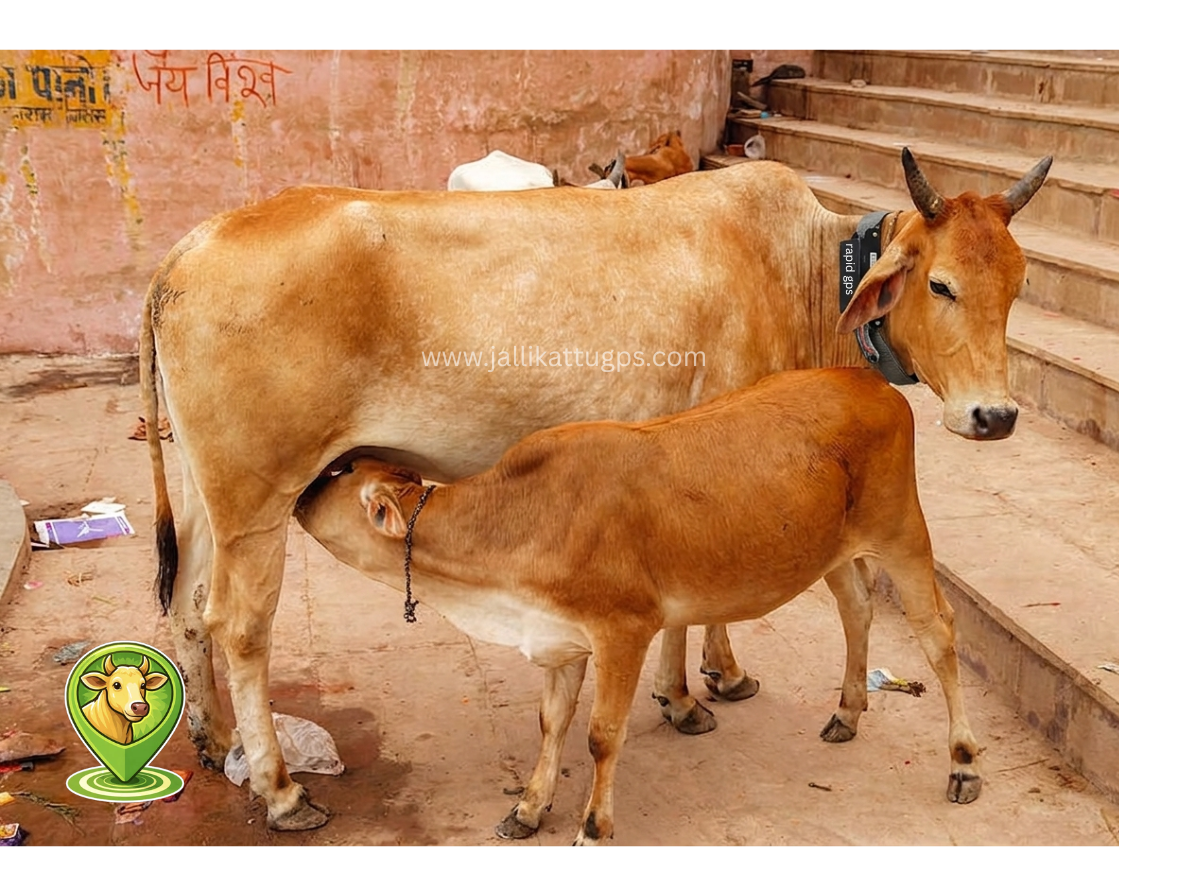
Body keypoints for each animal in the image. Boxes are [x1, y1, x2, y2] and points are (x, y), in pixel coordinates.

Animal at [293, 367, 982, 844]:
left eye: (340, 473)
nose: (298, 492)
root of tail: (868, 379)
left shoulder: (623, 629)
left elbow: (601, 735)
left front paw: (592, 826)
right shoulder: (560, 638)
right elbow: (551, 723)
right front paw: (529, 807)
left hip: (903, 532)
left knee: (939, 634)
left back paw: (963, 765)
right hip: (832, 551)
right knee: (857, 607)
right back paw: (847, 712)